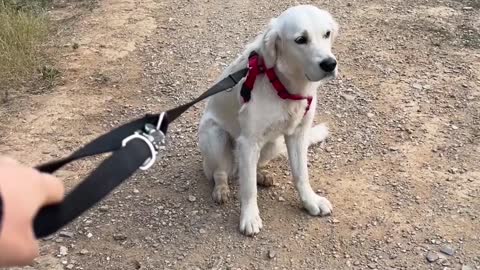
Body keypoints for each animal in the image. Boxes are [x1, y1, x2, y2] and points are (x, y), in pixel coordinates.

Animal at [198, 5, 338, 235]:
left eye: (326, 34)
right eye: (301, 39)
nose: (330, 64)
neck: (286, 86)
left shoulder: (298, 135)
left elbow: (301, 175)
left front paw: (310, 202)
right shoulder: (248, 142)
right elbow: (248, 189)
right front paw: (249, 218)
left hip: (272, 144)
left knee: (246, 170)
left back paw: (261, 176)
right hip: (214, 136)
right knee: (220, 172)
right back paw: (221, 189)